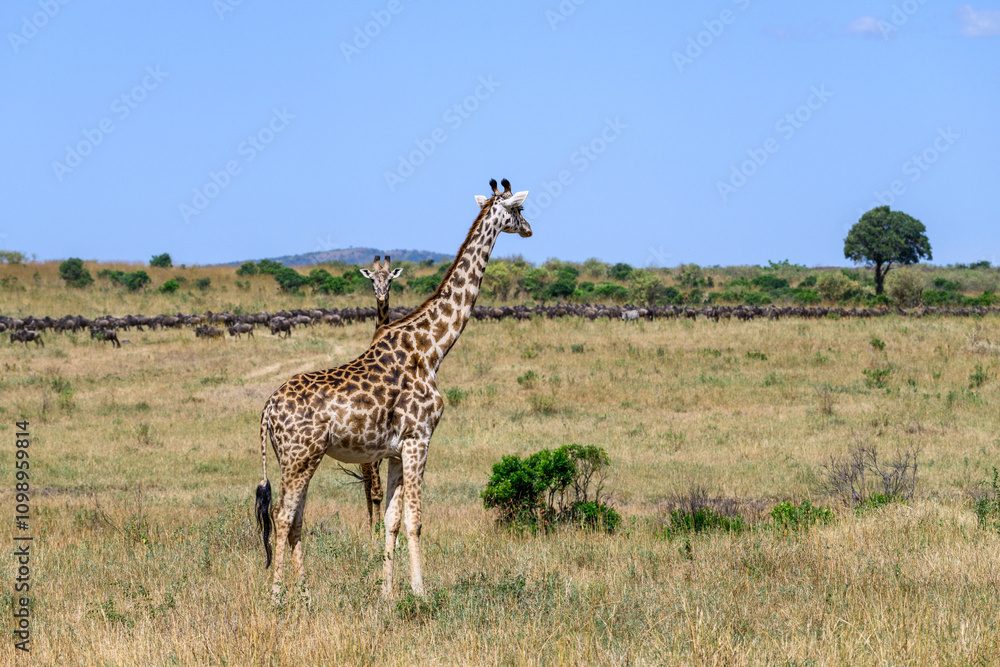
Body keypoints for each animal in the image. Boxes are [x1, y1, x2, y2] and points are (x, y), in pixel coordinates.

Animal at [255, 179, 531, 600]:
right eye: (518, 210)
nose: (529, 228)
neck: (431, 348)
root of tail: (267, 409)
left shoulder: (396, 451)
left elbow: (391, 520)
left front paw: (386, 593)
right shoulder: (419, 440)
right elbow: (416, 519)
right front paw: (420, 592)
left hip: (296, 458)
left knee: (297, 515)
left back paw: (304, 593)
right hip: (300, 456)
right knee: (282, 515)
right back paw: (277, 597)